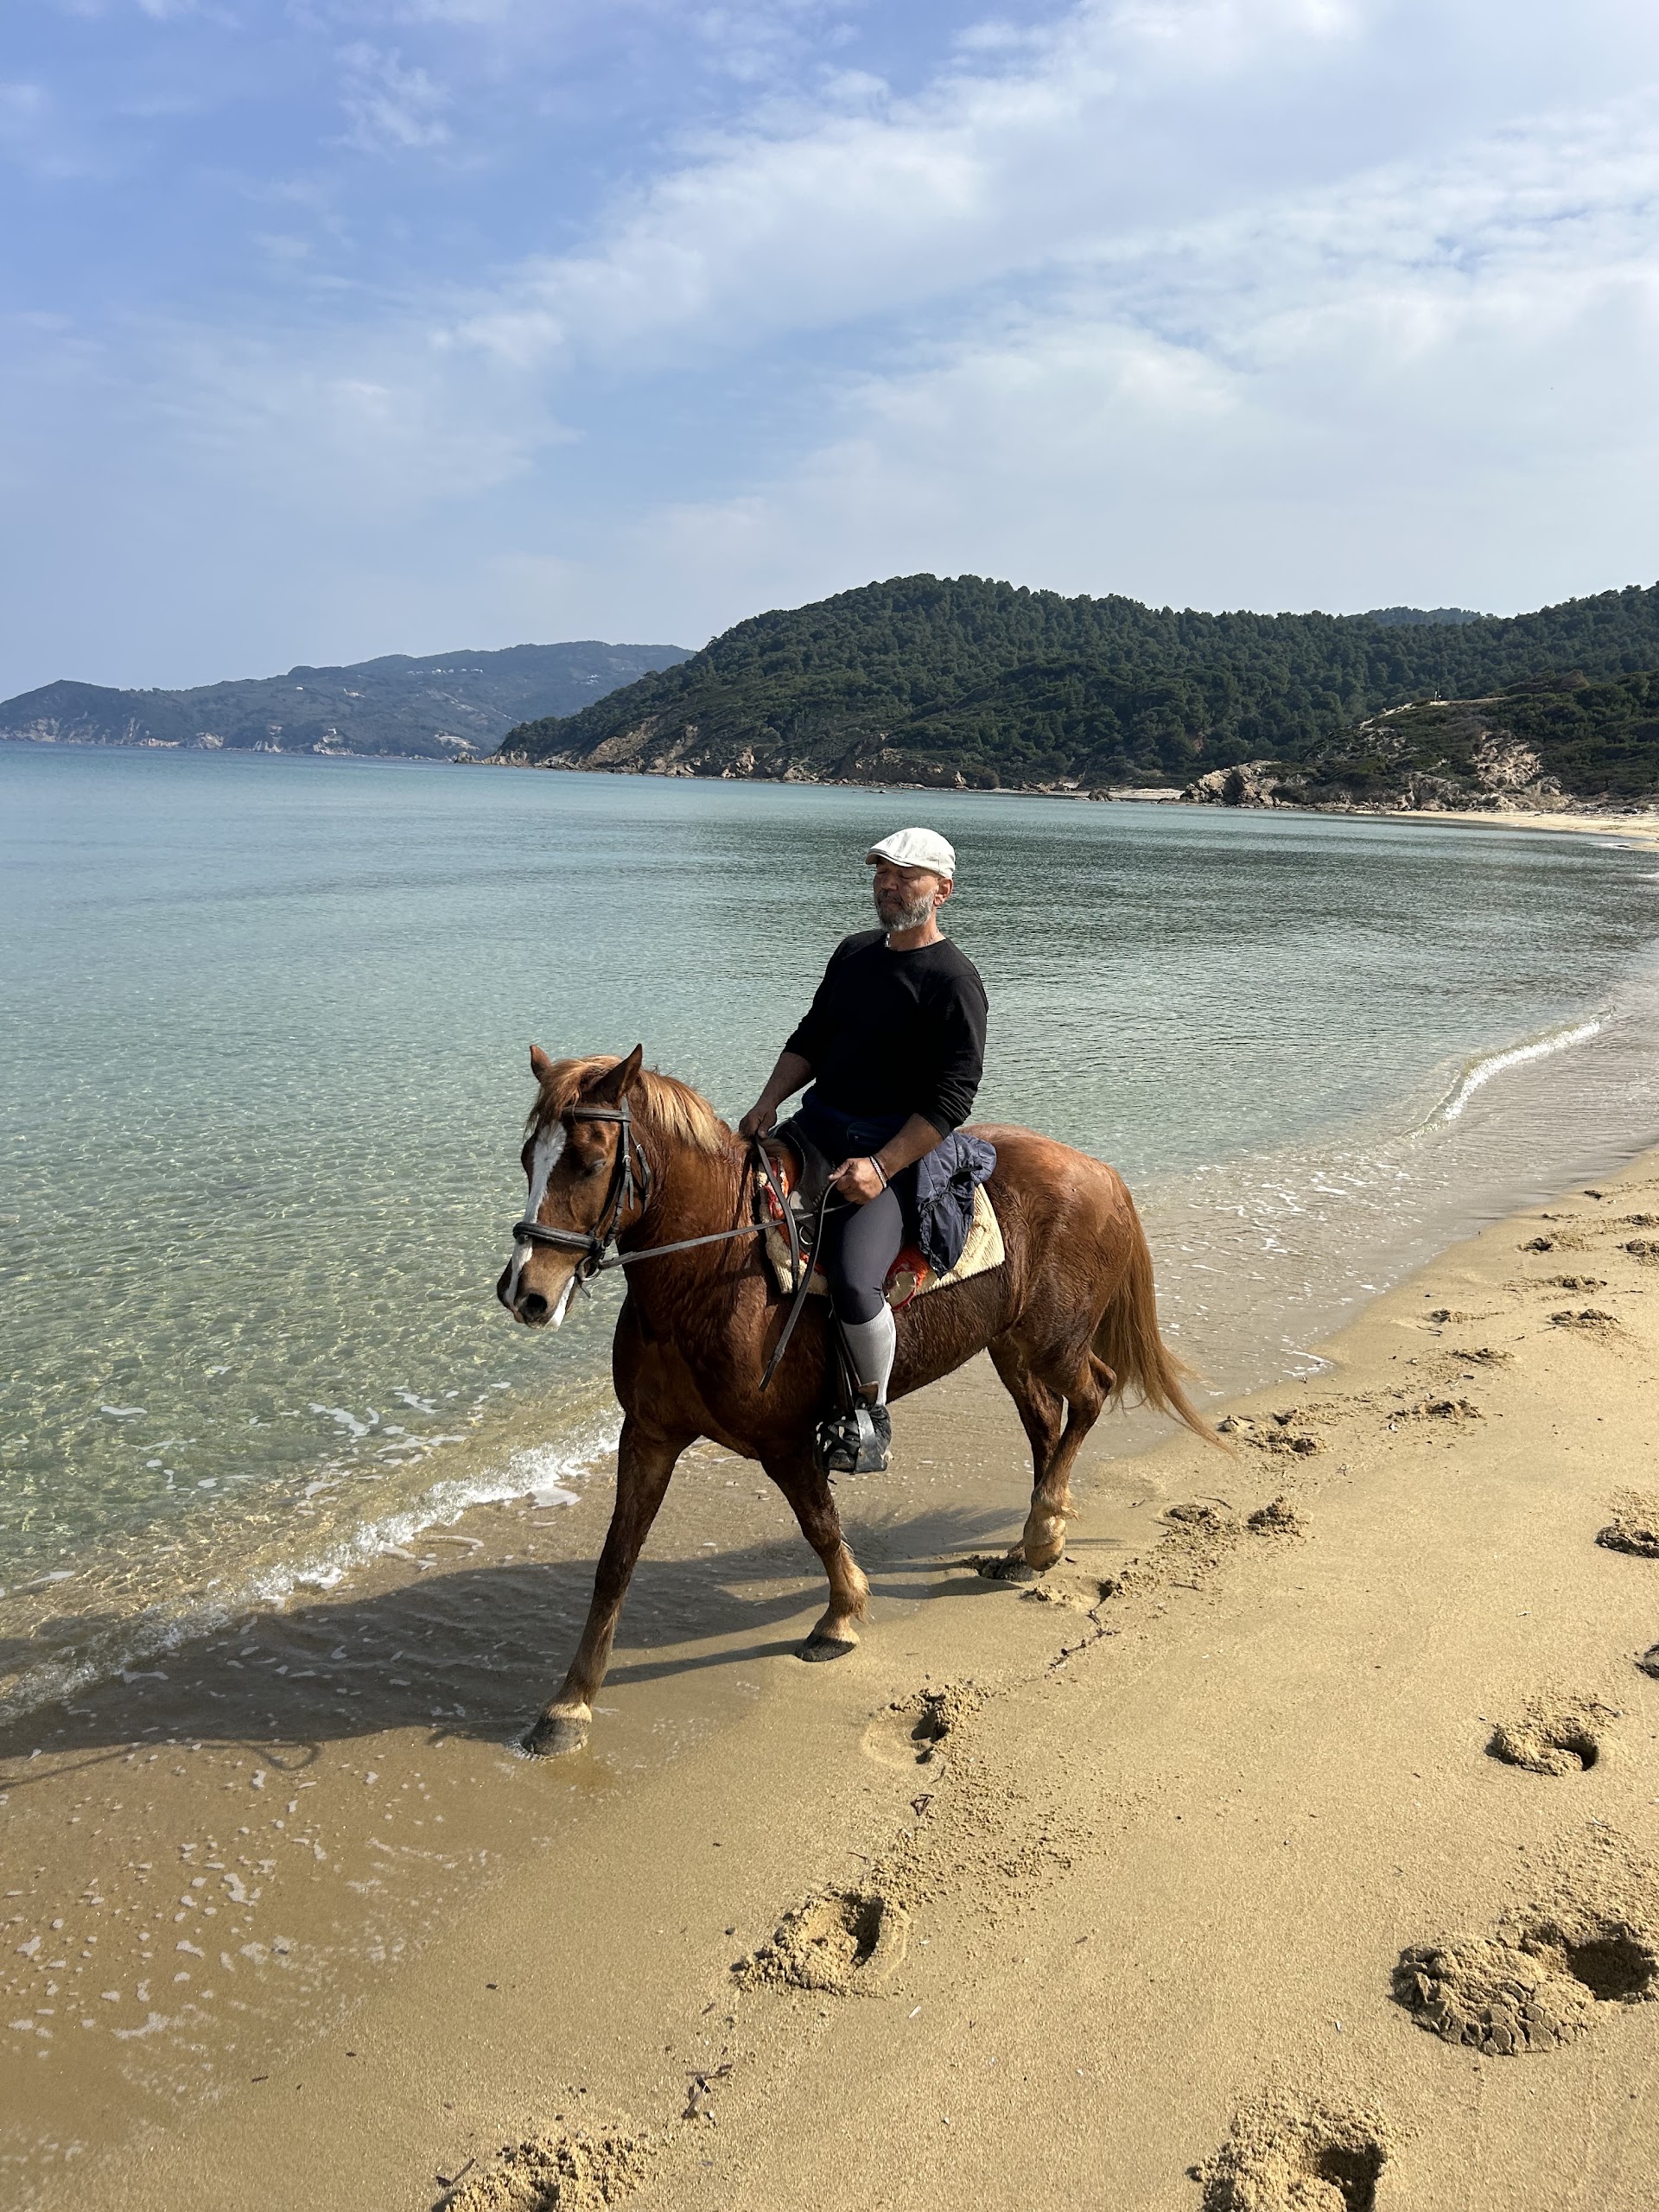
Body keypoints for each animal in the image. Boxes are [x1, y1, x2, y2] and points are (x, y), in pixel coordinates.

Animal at [497, 1045, 1208, 1755]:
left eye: (589, 1162)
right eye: (529, 1157)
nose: (525, 1293)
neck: (711, 1273)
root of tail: (1101, 1172)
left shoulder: (783, 1442)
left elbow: (819, 1524)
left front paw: (840, 1618)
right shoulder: (647, 1436)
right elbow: (615, 1563)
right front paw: (569, 1703)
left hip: (1052, 1343)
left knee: (1091, 1396)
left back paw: (1041, 1532)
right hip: (1010, 1346)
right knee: (1044, 1423)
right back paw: (1038, 1537)